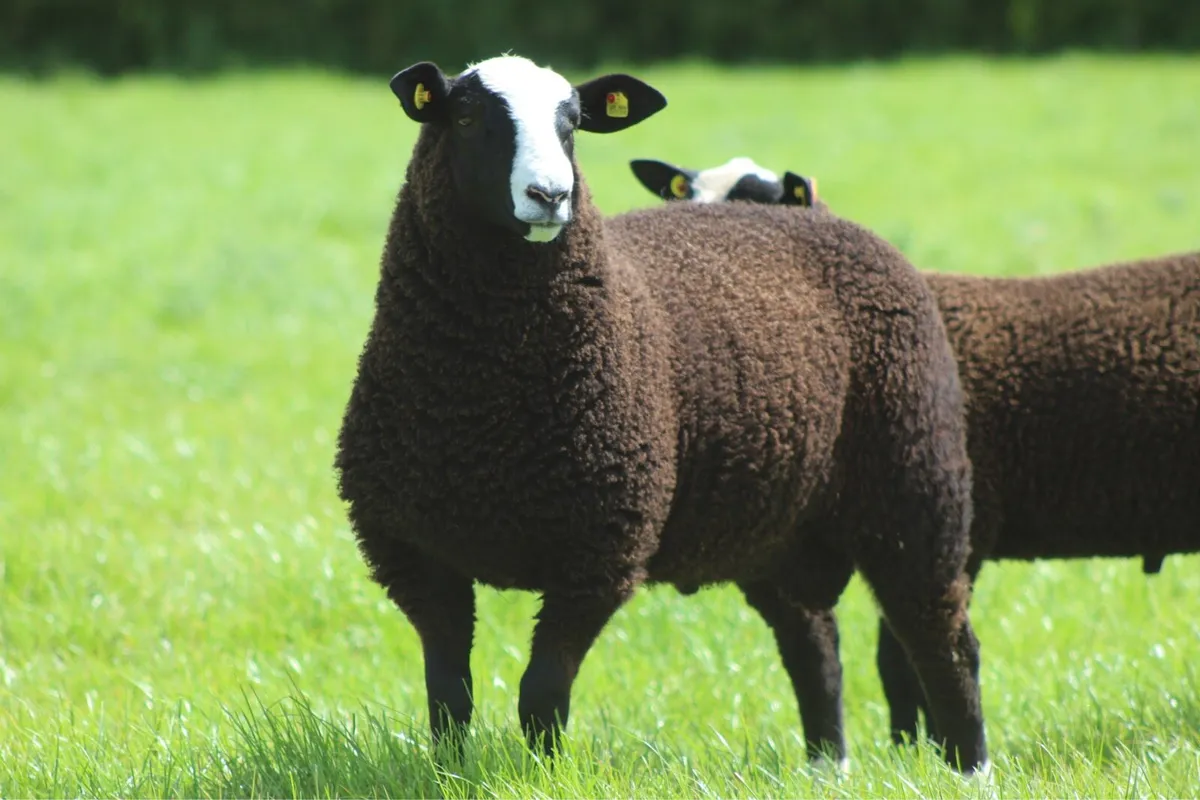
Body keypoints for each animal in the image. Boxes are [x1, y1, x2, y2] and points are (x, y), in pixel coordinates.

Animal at [333, 55, 990, 773]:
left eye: (574, 124)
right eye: (468, 116)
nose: (550, 196)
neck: (488, 412)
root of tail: (829, 220)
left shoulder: (598, 550)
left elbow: (542, 693)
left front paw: (543, 775)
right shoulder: (414, 554)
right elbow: (448, 695)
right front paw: (450, 771)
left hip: (914, 482)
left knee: (943, 639)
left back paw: (971, 768)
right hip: (779, 528)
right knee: (814, 646)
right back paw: (827, 766)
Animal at [632, 154, 1200, 745]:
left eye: (755, 207)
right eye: (681, 198)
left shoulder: (950, 532)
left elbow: (899, 659)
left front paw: (917, 747)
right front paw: (909, 746)